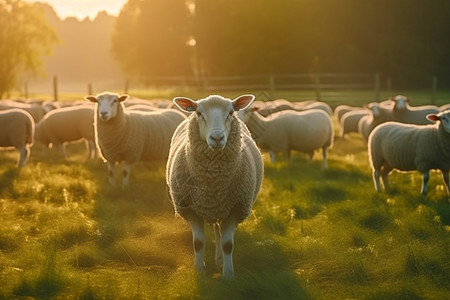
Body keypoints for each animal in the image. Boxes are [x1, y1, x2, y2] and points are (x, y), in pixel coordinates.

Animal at [165, 94, 264, 278]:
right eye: (198, 113)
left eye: (231, 112)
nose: (217, 138)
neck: (212, 185)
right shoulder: (190, 209)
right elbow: (198, 242)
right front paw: (199, 271)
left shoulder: (235, 209)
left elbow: (227, 244)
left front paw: (228, 275)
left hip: (222, 209)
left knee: (219, 232)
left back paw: (219, 260)